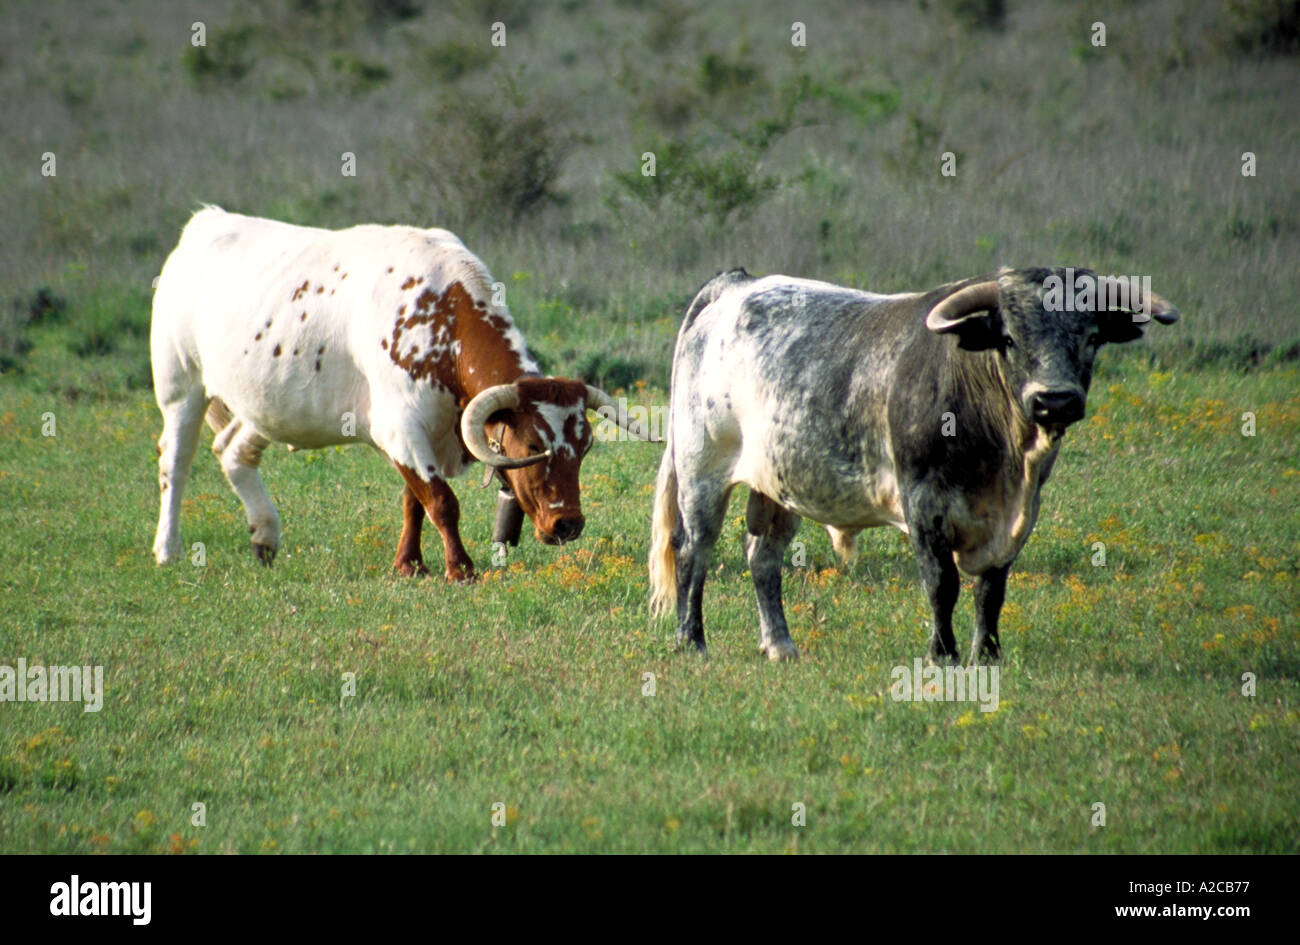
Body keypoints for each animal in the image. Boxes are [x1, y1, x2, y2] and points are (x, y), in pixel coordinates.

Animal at [149, 206, 647, 577]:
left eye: (584, 447)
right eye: (530, 445)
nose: (568, 524)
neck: (442, 318)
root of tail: (206, 223)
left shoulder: (422, 434)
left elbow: (415, 500)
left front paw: (409, 564)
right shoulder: (401, 428)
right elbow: (441, 501)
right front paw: (460, 568)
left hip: (264, 402)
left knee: (233, 449)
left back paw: (264, 536)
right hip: (181, 385)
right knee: (176, 460)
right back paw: (168, 549)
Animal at [650, 266, 1180, 662]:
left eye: (1090, 337)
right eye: (1009, 338)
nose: (1055, 401)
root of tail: (735, 285)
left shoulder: (1018, 517)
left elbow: (992, 589)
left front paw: (986, 654)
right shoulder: (924, 502)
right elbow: (941, 583)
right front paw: (941, 653)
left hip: (778, 481)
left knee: (763, 557)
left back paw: (780, 646)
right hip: (702, 471)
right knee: (694, 551)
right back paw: (691, 641)